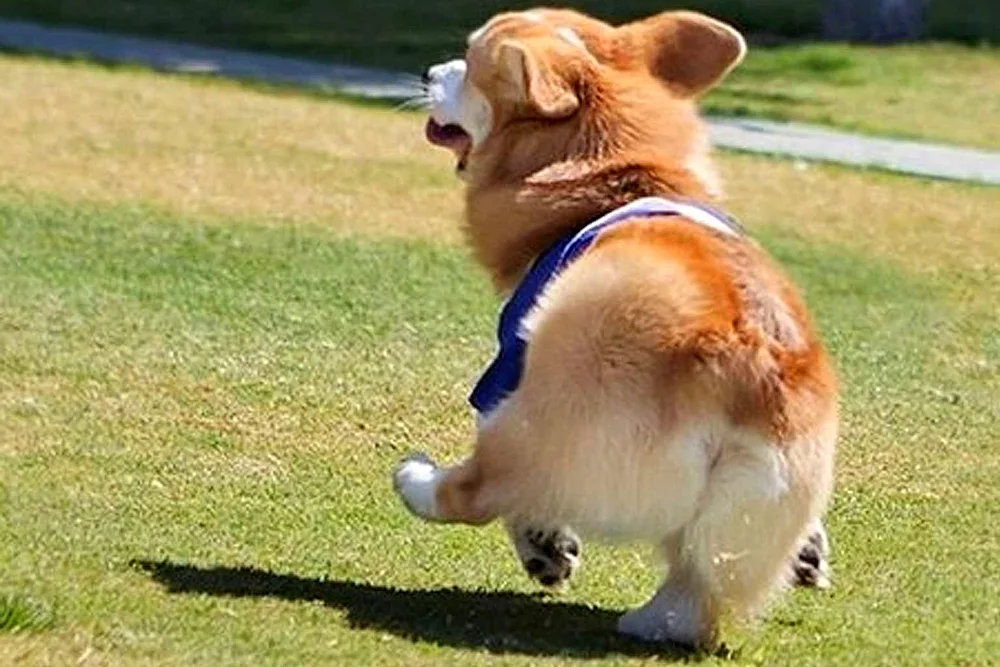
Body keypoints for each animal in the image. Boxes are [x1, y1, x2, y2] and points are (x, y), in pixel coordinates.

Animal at [390, 7, 836, 648]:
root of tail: (743, 363)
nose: (429, 72)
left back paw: (419, 481)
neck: (622, 175)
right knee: (696, 587)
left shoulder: (509, 368)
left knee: (489, 487)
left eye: (471, 63)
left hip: (545, 415)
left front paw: (545, 544)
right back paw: (659, 619)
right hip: (759, 503)